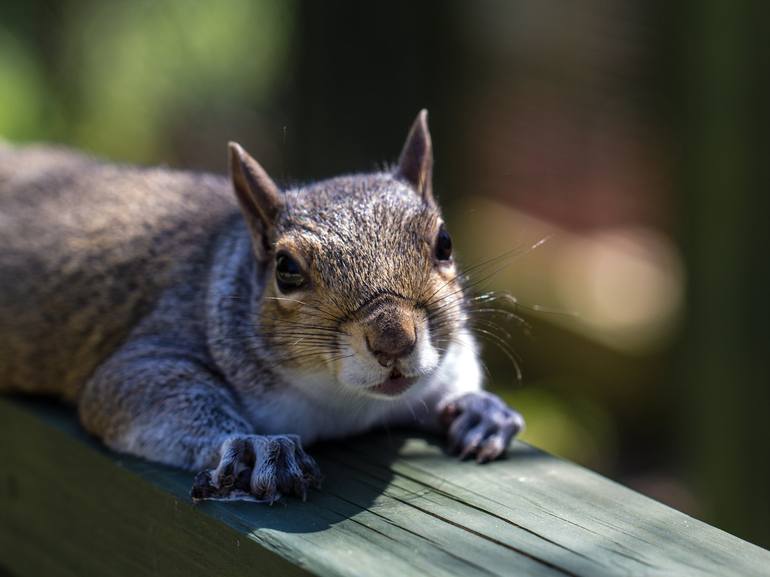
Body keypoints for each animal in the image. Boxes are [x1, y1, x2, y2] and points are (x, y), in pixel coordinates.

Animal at [0, 111, 520, 500]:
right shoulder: (159, 339)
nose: (393, 339)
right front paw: (254, 447)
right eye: (285, 269)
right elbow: (132, 388)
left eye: (445, 242)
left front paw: (479, 409)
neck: (348, 404)